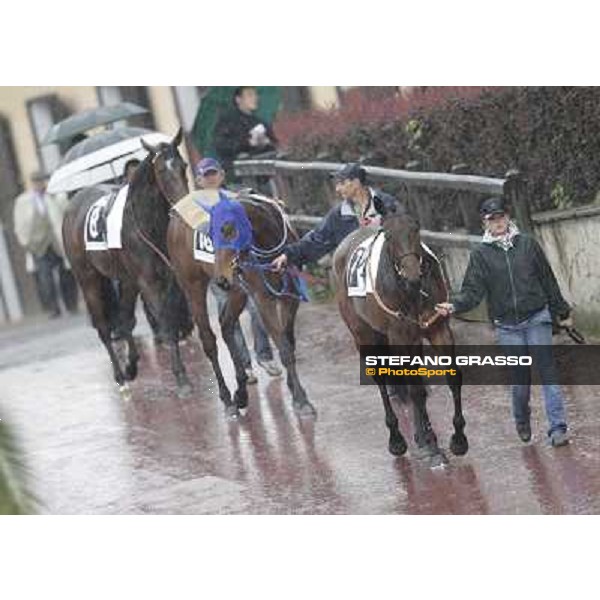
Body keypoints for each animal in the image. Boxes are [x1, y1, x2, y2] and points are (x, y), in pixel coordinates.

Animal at [62, 130, 192, 394]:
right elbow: (166, 323)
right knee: (103, 326)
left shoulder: (168, 280)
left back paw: (131, 365)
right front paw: (181, 376)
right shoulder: (149, 283)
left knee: (125, 318)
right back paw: (120, 376)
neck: (146, 222)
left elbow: (168, 318)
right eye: (161, 170)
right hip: (89, 279)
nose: (183, 206)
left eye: (183, 166)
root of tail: (72, 205)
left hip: (127, 280)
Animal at [166, 191, 316, 418]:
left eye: (228, 229)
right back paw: (227, 398)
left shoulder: (291, 296)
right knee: (209, 341)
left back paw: (241, 392)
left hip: (236, 291)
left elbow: (289, 342)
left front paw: (295, 390)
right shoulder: (263, 299)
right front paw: (301, 399)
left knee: (226, 325)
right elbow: (284, 347)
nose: (221, 279)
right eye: (210, 233)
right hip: (192, 286)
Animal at [332, 197, 468, 468]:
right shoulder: (399, 336)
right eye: (388, 234)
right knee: (382, 380)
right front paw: (429, 445)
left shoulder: (437, 327)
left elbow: (451, 378)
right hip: (364, 335)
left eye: (416, 228)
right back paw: (397, 438)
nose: (413, 276)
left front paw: (458, 438)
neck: (411, 293)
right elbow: (414, 389)